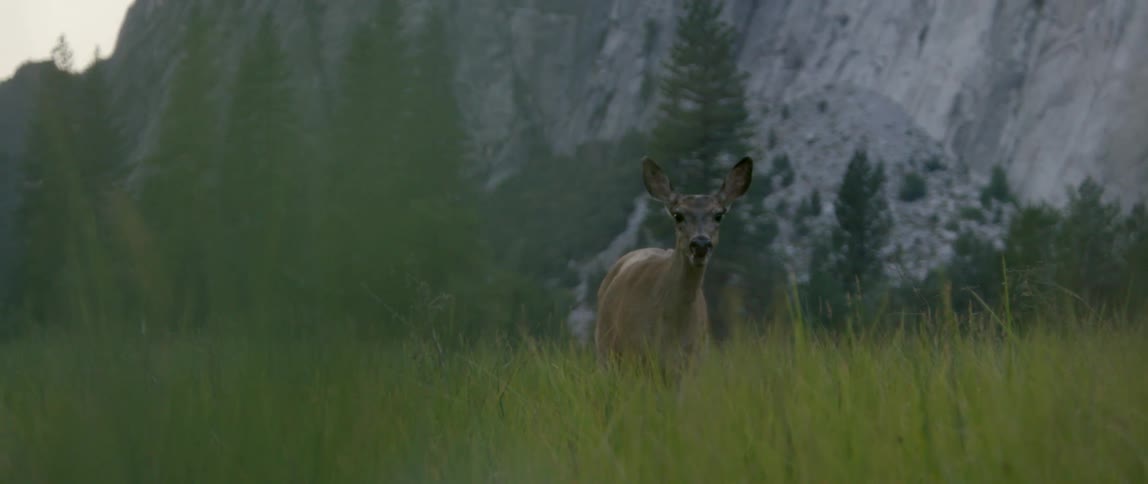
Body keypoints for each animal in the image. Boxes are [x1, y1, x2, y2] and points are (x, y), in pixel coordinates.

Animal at [594, 155, 753, 378]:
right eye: (678, 215)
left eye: (719, 215)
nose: (700, 244)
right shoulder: (636, 354)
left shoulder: (693, 361)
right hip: (606, 349)